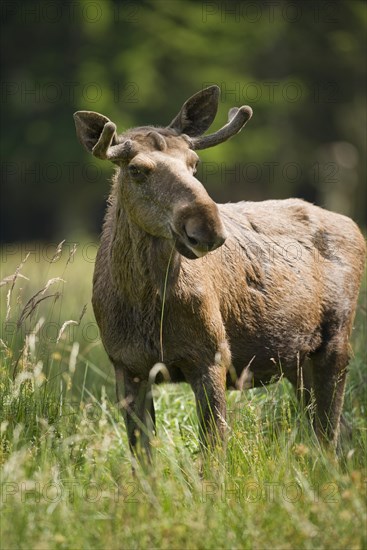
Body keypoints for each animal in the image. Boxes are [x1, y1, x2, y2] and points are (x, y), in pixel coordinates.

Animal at [74, 86, 366, 462]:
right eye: (137, 170)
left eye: (194, 163)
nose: (207, 228)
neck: (146, 306)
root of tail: (354, 227)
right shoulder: (126, 366)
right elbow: (143, 456)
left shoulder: (211, 355)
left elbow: (213, 452)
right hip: (298, 364)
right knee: (340, 431)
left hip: (336, 343)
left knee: (330, 434)